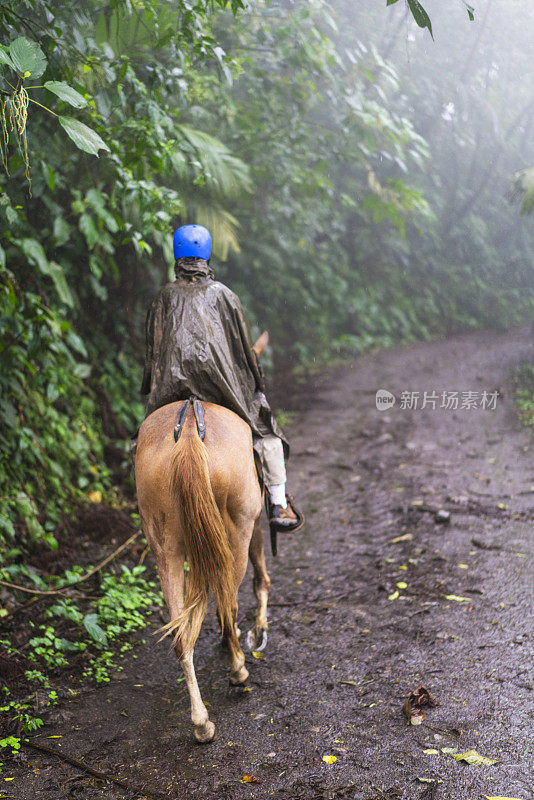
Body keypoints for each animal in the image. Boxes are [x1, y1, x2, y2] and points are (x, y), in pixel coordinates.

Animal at [135, 334, 272, 740]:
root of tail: (189, 436)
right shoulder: (253, 520)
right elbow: (260, 576)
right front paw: (257, 630)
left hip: (164, 546)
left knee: (181, 633)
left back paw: (200, 721)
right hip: (236, 528)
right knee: (229, 601)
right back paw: (238, 670)